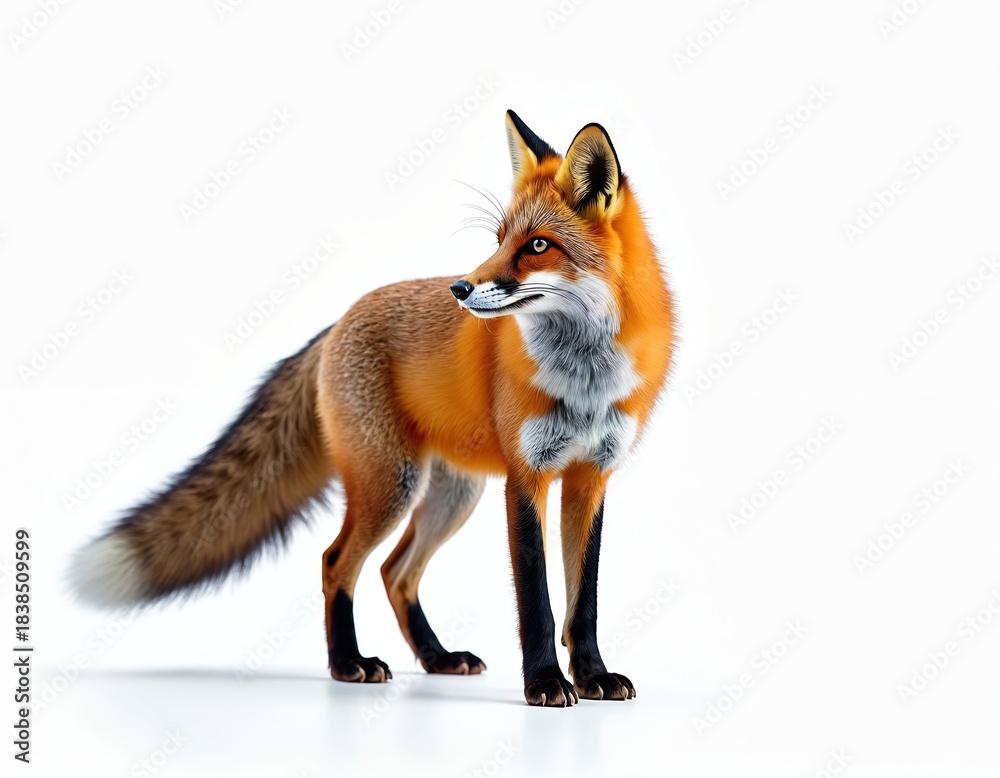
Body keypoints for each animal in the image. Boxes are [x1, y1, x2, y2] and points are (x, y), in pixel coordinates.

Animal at [71, 110, 674, 707]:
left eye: (540, 246)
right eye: (500, 240)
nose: (460, 287)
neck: (585, 382)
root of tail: (339, 322)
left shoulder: (590, 476)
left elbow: (583, 600)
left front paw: (593, 676)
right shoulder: (526, 477)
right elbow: (538, 600)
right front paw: (546, 682)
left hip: (451, 494)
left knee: (395, 571)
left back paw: (436, 658)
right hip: (392, 483)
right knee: (337, 562)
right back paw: (347, 664)